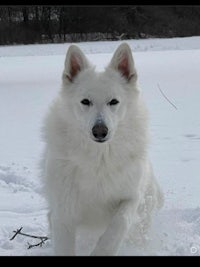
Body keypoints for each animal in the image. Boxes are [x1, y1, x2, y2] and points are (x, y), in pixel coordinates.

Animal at [41, 43, 164, 256]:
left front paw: (102, 250)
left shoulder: (131, 197)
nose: (100, 131)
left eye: (113, 101)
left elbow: (119, 223)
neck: (99, 158)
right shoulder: (64, 211)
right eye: (85, 101)